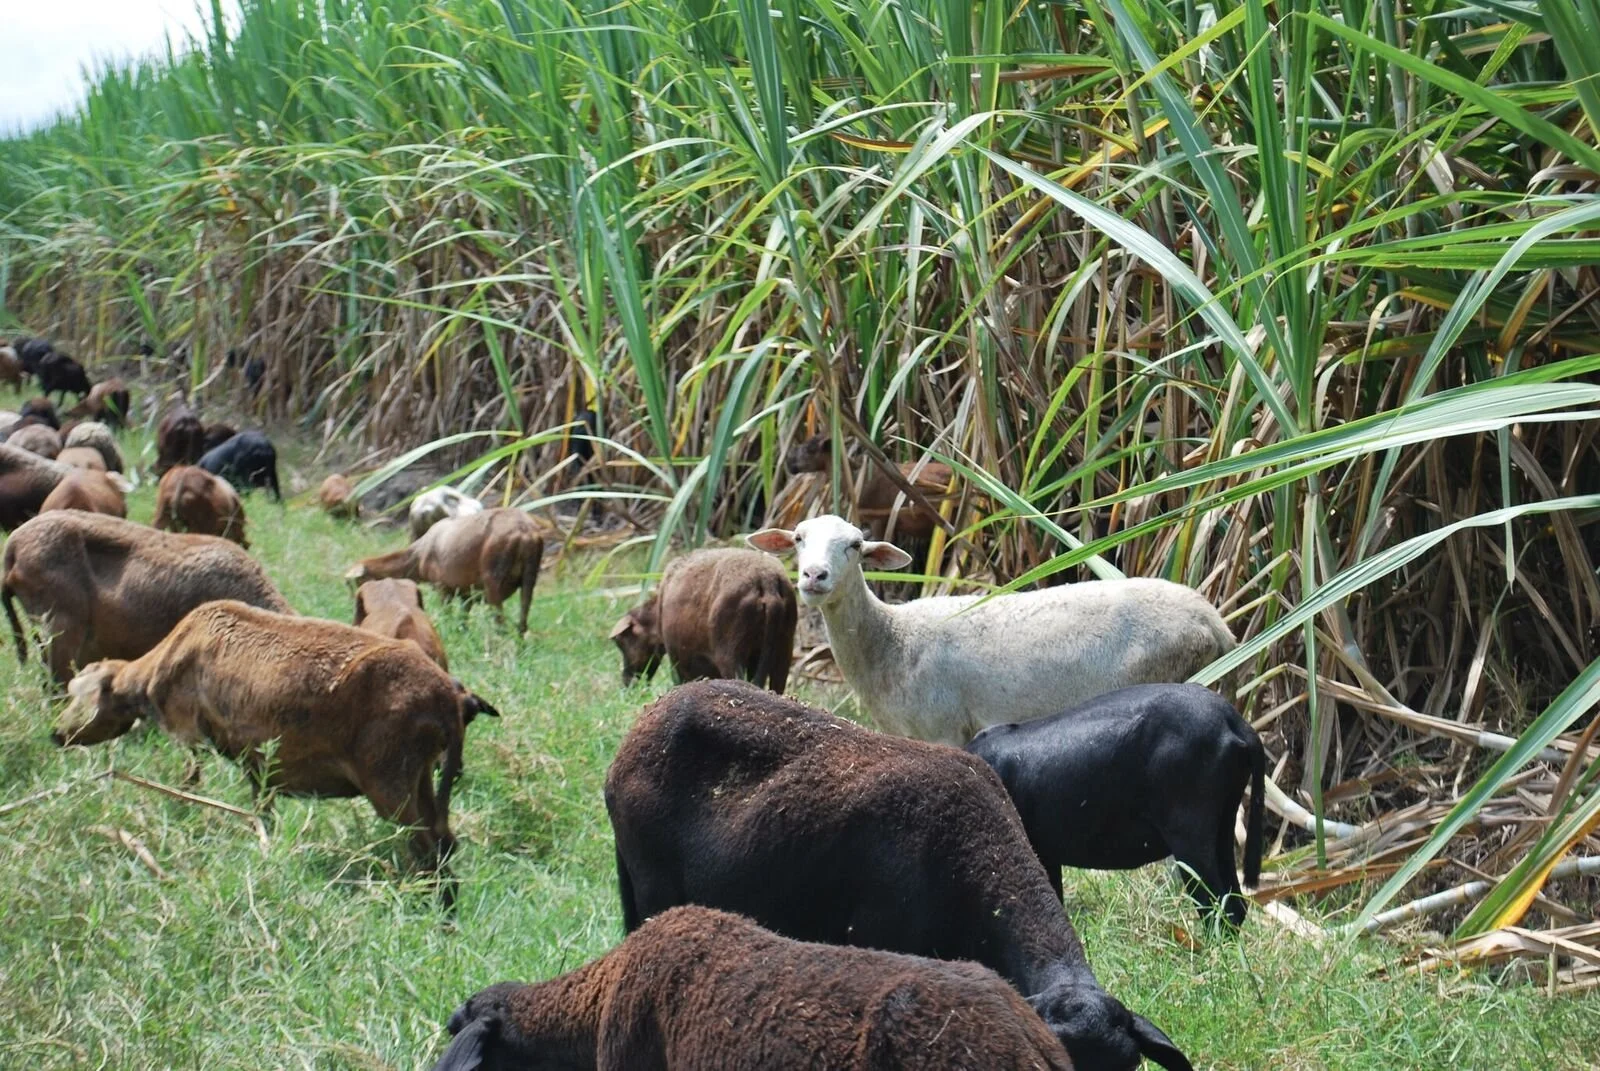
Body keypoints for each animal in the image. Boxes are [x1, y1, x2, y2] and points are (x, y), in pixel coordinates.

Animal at [347, 508, 542, 635]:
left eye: (352, 582)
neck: (417, 556)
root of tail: (525, 532)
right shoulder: (465, 591)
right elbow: (463, 617)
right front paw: (463, 633)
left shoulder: (442, 586)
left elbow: (447, 612)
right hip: (530, 575)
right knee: (523, 617)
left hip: (493, 577)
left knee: (500, 622)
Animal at [610, 547, 796, 692]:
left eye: (622, 641)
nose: (627, 682)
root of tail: (767, 581)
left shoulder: (679, 657)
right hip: (784, 650)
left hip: (730, 653)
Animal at [748, 515, 1234, 746]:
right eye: (797, 538)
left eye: (854, 545)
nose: (814, 576)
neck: (891, 640)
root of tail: (1216, 624)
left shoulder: (945, 727)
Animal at [967, 683, 1266, 927]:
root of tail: (1234, 721)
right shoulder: (1046, 855)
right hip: (1222, 831)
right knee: (1235, 906)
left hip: (1190, 840)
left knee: (1220, 910)